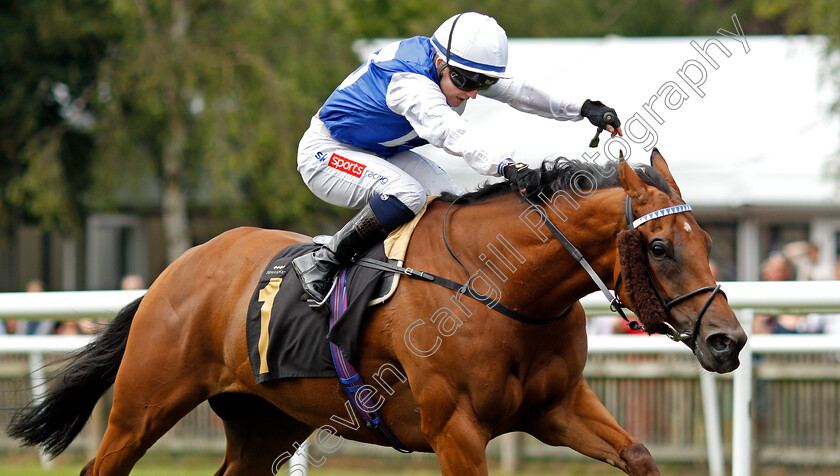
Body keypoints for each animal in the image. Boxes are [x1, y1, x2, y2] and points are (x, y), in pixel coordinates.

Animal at [9, 150, 744, 476]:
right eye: (659, 247)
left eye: (709, 242)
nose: (728, 340)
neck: (504, 287)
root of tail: (175, 271)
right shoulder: (457, 429)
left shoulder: (556, 406)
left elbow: (640, 455)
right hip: (144, 405)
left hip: (265, 424)